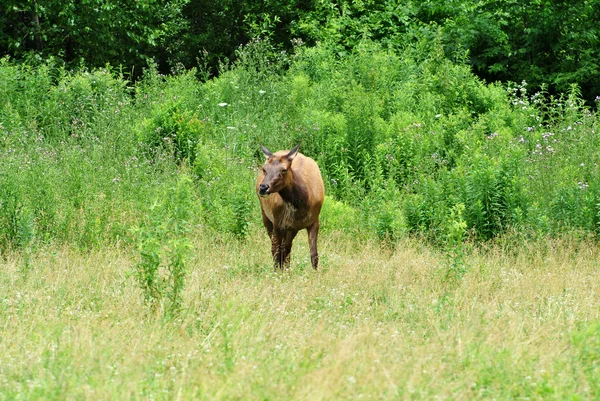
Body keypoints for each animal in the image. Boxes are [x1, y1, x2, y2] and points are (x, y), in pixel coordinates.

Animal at [256, 142, 326, 270]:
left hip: (291, 229)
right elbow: (276, 251)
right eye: (264, 169)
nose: (263, 187)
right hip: (265, 214)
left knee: (287, 249)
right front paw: (276, 272)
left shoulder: (314, 221)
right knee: (278, 249)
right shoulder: (278, 222)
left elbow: (314, 255)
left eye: (284, 169)